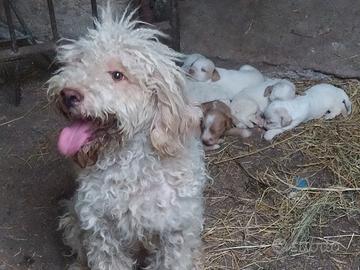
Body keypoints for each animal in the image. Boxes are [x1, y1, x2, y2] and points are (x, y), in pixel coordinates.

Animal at [47, 6, 205, 270]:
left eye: (118, 75)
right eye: (79, 61)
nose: (68, 94)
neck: (130, 169)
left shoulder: (174, 233)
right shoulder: (101, 232)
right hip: (73, 221)